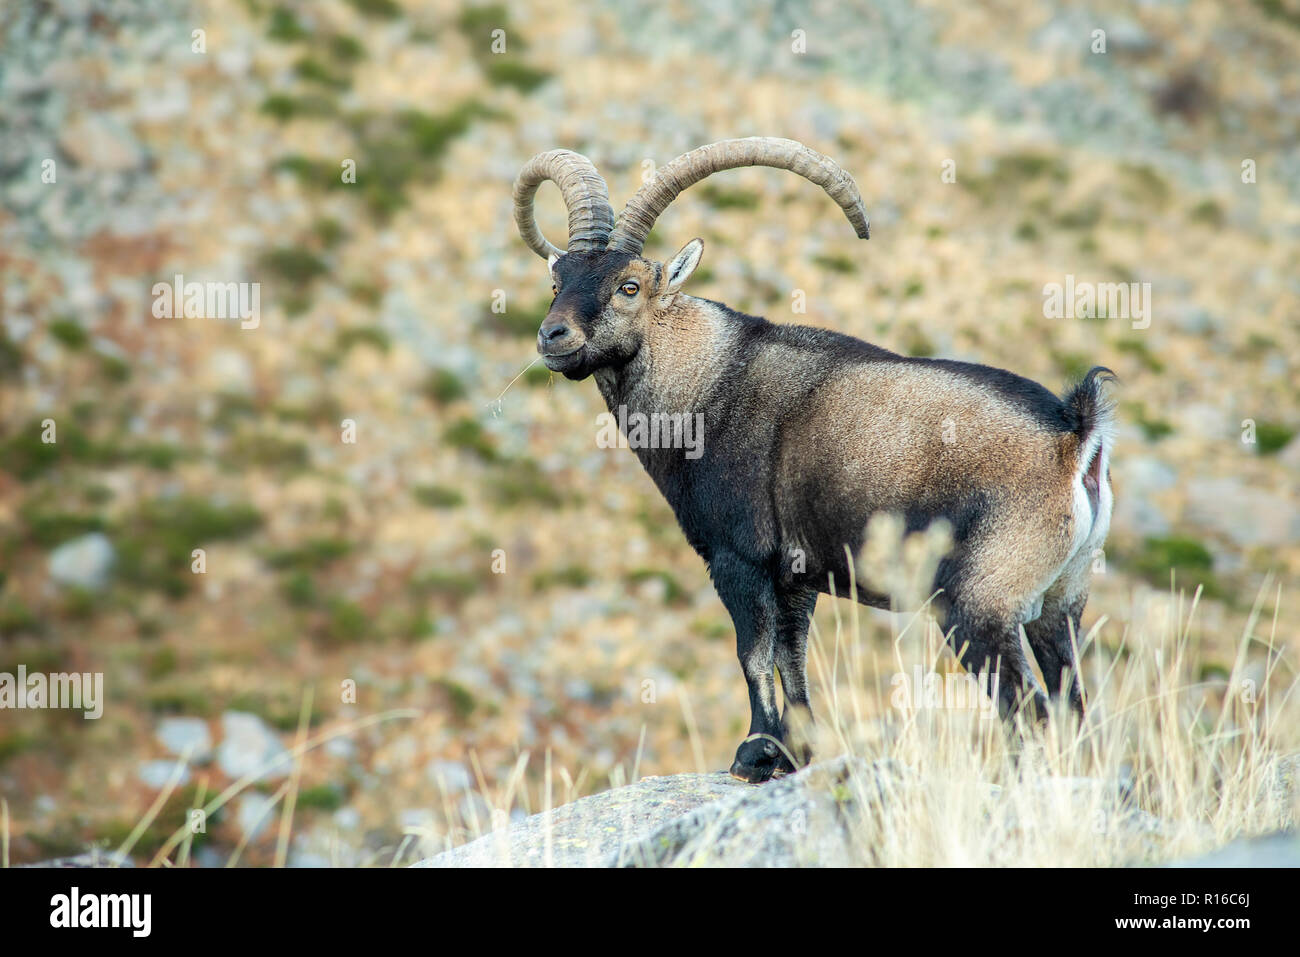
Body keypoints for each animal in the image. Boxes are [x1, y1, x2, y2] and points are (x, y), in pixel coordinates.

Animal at [512, 138, 1115, 782]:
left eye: (629, 285)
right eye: (556, 281)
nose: (553, 336)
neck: (706, 383)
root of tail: (1076, 438)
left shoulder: (739, 558)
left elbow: (754, 655)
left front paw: (752, 755)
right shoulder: (796, 576)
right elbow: (791, 657)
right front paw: (795, 754)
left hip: (980, 606)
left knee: (1029, 712)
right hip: (1062, 602)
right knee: (1073, 707)